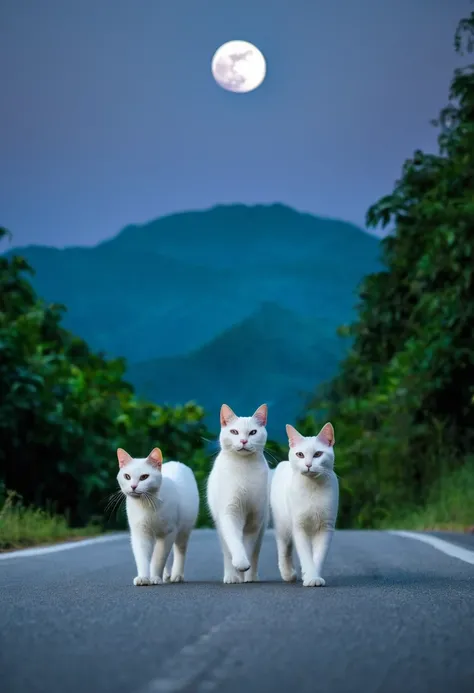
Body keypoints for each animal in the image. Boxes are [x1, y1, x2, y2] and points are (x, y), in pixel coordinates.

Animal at [118, 446, 200, 588]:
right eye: (127, 476)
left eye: (144, 477)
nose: (133, 486)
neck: (146, 505)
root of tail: (176, 462)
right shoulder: (140, 533)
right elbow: (143, 558)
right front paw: (144, 578)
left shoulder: (168, 532)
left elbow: (159, 558)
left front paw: (155, 577)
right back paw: (166, 575)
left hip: (183, 531)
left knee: (180, 551)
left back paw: (176, 575)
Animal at [207, 402, 270, 580]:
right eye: (234, 432)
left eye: (253, 432)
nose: (243, 440)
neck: (244, 467)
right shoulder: (229, 513)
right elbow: (235, 542)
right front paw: (239, 565)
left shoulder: (255, 518)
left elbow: (247, 547)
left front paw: (245, 567)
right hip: (220, 526)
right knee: (227, 552)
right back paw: (231, 577)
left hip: (262, 526)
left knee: (255, 553)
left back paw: (250, 577)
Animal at [270, 418, 336, 588]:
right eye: (300, 454)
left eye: (318, 454)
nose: (308, 464)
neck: (312, 487)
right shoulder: (299, 527)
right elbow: (305, 556)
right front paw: (311, 577)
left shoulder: (326, 527)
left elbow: (318, 556)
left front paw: (314, 576)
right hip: (283, 526)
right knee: (284, 550)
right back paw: (288, 574)